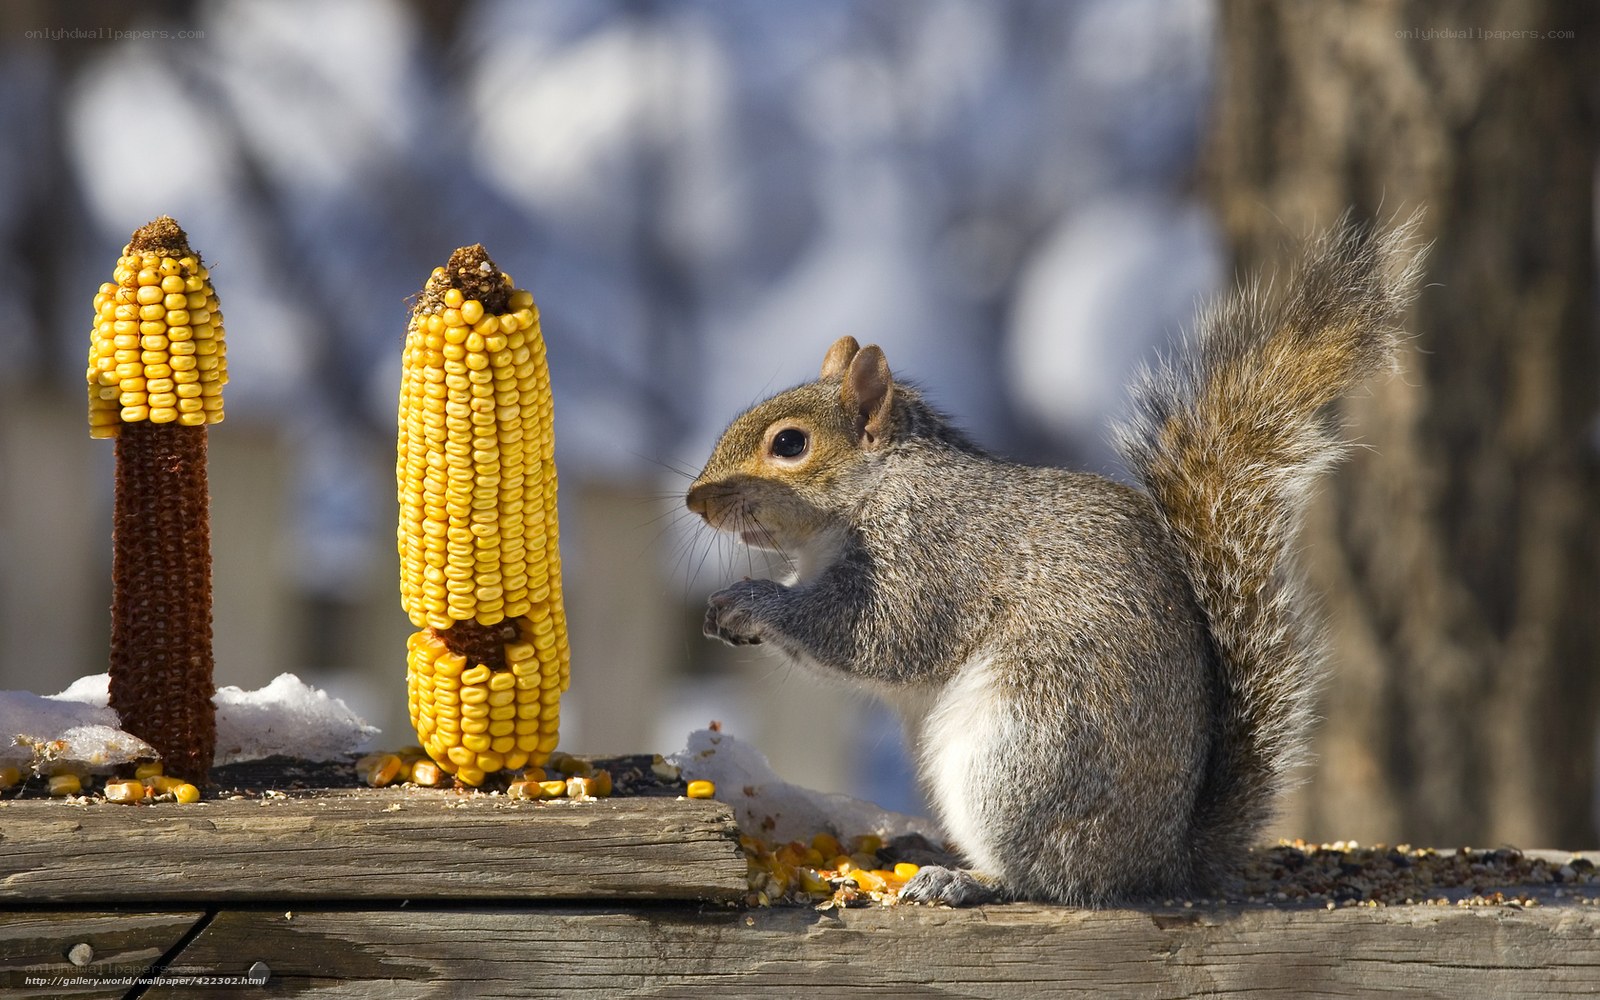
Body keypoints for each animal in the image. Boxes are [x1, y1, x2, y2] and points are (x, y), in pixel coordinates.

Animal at [686, 216, 1424, 906]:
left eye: (790, 444)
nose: (695, 500)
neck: (875, 488)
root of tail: (1157, 862)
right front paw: (729, 612)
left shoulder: (930, 551)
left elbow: (875, 634)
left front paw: (750, 602)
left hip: (1023, 752)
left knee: (1045, 876)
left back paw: (963, 879)